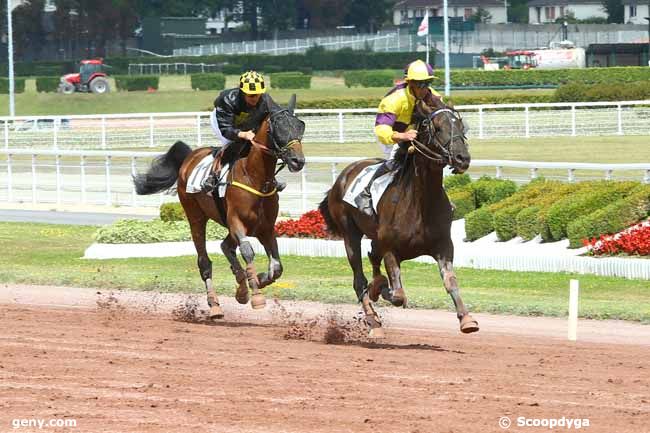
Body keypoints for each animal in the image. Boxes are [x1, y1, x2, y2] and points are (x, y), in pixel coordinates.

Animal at [134, 99, 304, 318]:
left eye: (300, 126)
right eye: (280, 128)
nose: (298, 161)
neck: (255, 178)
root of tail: (190, 156)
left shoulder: (265, 228)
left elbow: (277, 267)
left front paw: (255, 280)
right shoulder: (236, 221)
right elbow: (248, 251)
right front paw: (256, 295)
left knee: (225, 246)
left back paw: (241, 287)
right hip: (195, 216)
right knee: (204, 261)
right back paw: (214, 304)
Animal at [318, 98, 476, 338]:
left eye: (461, 126)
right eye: (437, 128)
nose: (462, 158)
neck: (421, 204)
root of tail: (343, 176)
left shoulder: (443, 246)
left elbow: (450, 281)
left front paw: (467, 319)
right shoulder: (391, 249)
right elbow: (398, 294)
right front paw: (380, 289)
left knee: (372, 255)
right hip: (349, 233)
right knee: (359, 279)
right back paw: (373, 321)